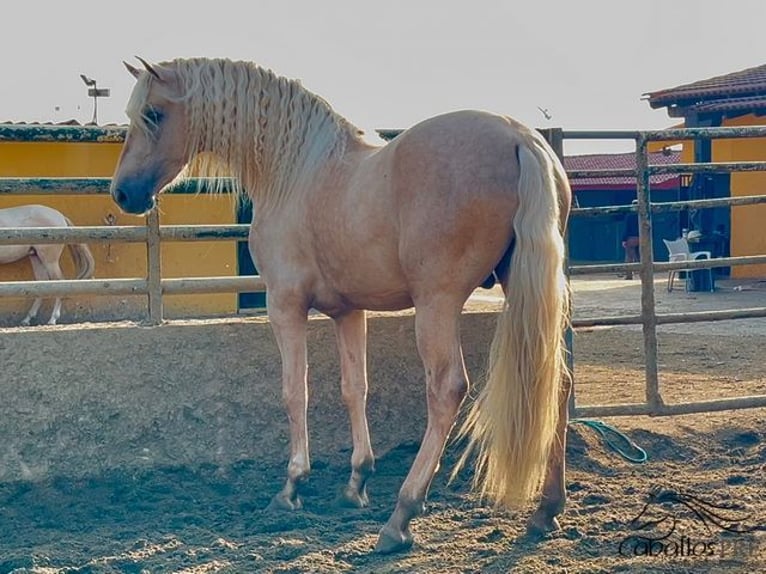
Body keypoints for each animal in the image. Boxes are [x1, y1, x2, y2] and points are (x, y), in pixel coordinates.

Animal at [111, 57, 572, 552]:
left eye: (153, 114)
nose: (122, 193)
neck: (294, 171)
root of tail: (519, 137)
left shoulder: (285, 306)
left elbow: (295, 391)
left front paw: (292, 486)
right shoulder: (348, 312)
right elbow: (355, 389)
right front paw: (356, 483)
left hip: (437, 303)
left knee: (447, 389)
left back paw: (401, 516)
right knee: (556, 383)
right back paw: (546, 510)